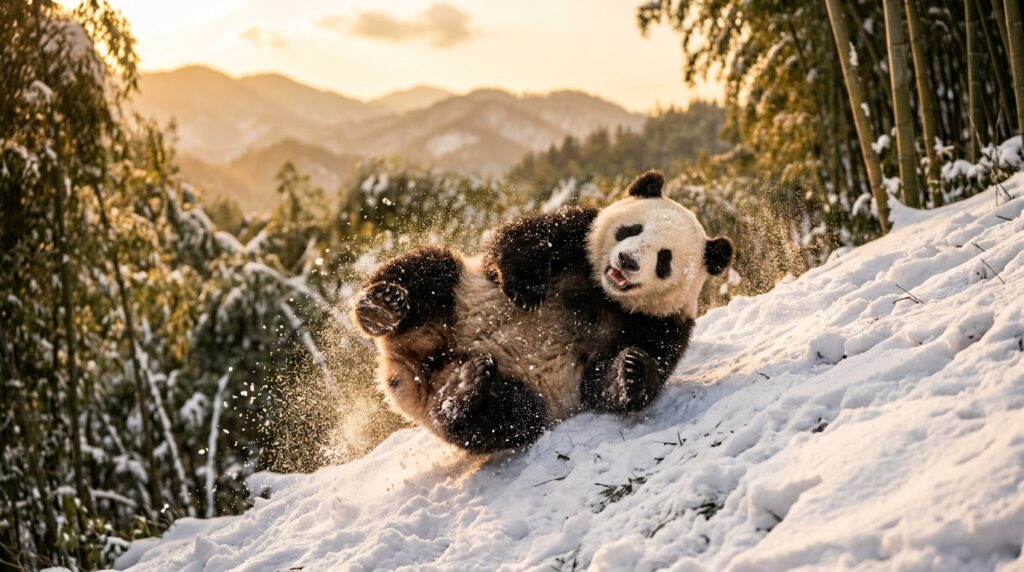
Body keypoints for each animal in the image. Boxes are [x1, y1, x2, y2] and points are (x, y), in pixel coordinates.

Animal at [352, 170, 733, 453]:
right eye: (632, 229)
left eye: (664, 258)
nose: (626, 260)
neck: (604, 294)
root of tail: (408, 371)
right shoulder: (579, 237)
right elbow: (523, 239)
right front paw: (526, 289)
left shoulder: (661, 323)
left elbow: (605, 381)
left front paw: (630, 371)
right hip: (456, 297)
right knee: (429, 270)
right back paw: (382, 307)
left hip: (524, 392)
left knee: (508, 417)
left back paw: (462, 389)